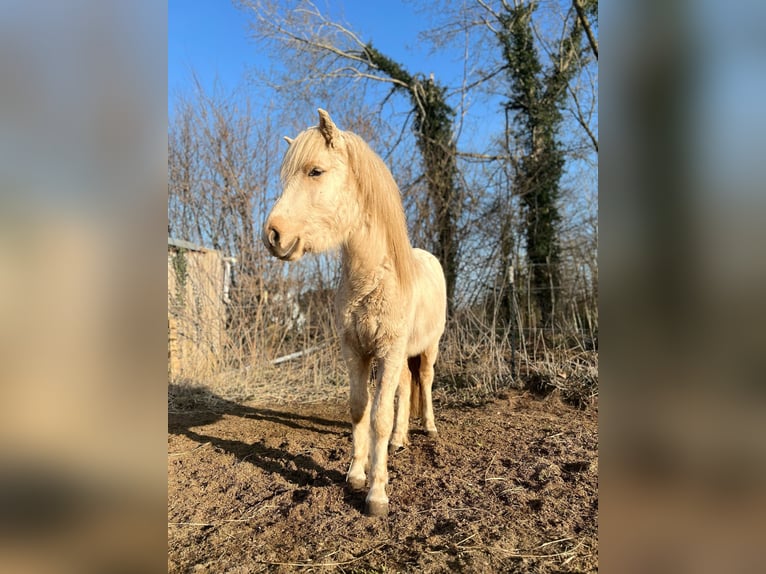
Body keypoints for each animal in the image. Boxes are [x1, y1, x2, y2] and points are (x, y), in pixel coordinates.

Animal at [263, 109, 447, 517]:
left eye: (315, 171)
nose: (273, 235)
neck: (373, 278)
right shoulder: (355, 351)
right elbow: (360, 409)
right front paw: (356, 475)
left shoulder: (389, 351)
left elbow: (378, 416)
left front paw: (377, 494)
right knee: (405, 387)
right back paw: (399, 440)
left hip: (428, 347)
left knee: (424, 381)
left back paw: (428, 428)